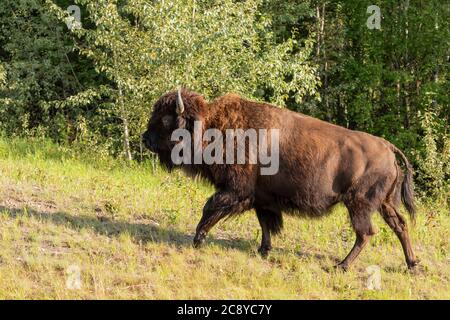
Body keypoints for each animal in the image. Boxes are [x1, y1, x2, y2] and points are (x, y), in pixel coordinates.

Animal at [143, 87, 418, 270]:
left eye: (166, 119)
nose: (145, 138)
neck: (211, 127)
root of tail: (388, 148)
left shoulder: (236, 191)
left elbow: (210, 207)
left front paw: (198, 239)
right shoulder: (262, 199)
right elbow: (265, 224)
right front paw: (263, 250)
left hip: (359, 205)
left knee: (365, 233)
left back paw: (341, 265)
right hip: (384, 204)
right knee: (400, 225)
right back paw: (412, 264)